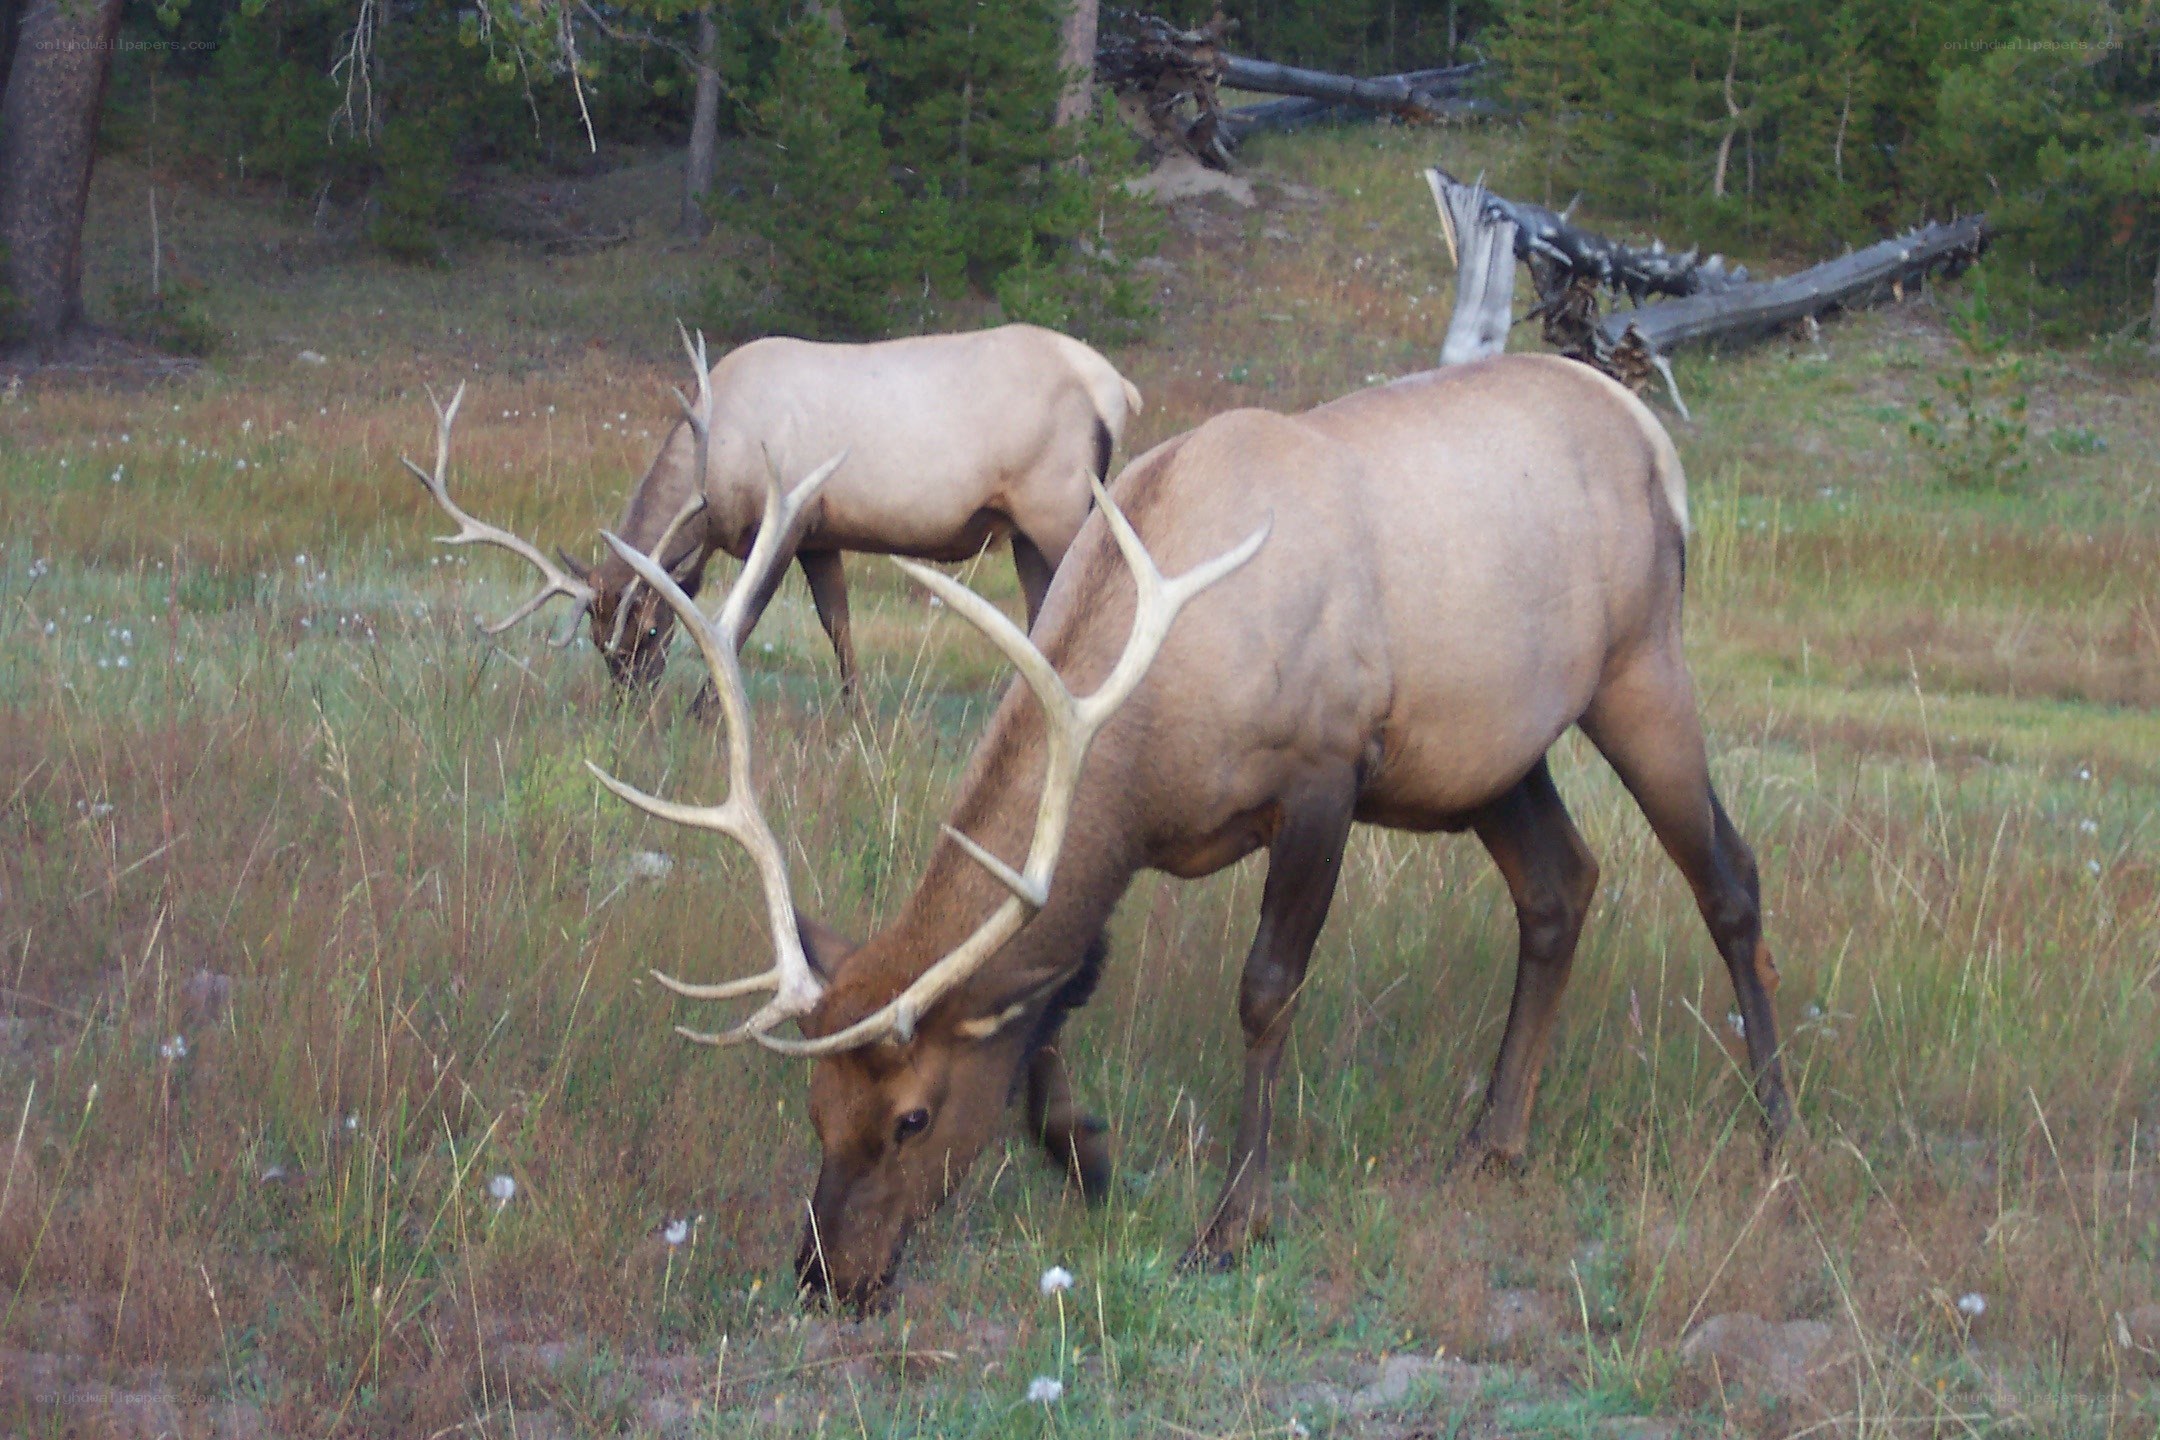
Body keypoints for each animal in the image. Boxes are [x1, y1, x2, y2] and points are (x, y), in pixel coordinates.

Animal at [402, 323, 1145, 700]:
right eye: (594, 637)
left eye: (649, 628)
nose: (629, 704)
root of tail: (1119, 388)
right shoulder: (821, 532)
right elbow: (837, 624)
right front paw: (855, 715)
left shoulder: (783, 522)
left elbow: (741, 620)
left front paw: (707, 711)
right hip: (1026, 530)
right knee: (1044, 612)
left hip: (1062, 503)